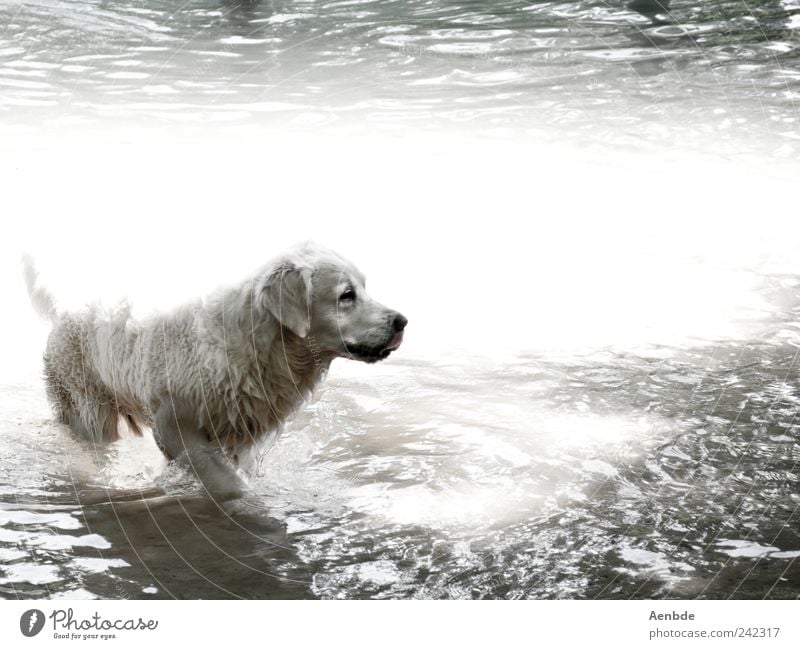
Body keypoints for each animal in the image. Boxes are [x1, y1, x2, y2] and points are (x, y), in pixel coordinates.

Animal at [22, 243, 410, 496]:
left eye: (364, 288)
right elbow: (229, 484)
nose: (402, 321)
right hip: (90, 405)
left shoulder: (243, 431)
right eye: (347, 295)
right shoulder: (174, 424)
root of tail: (63, 309)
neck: (261, 342)